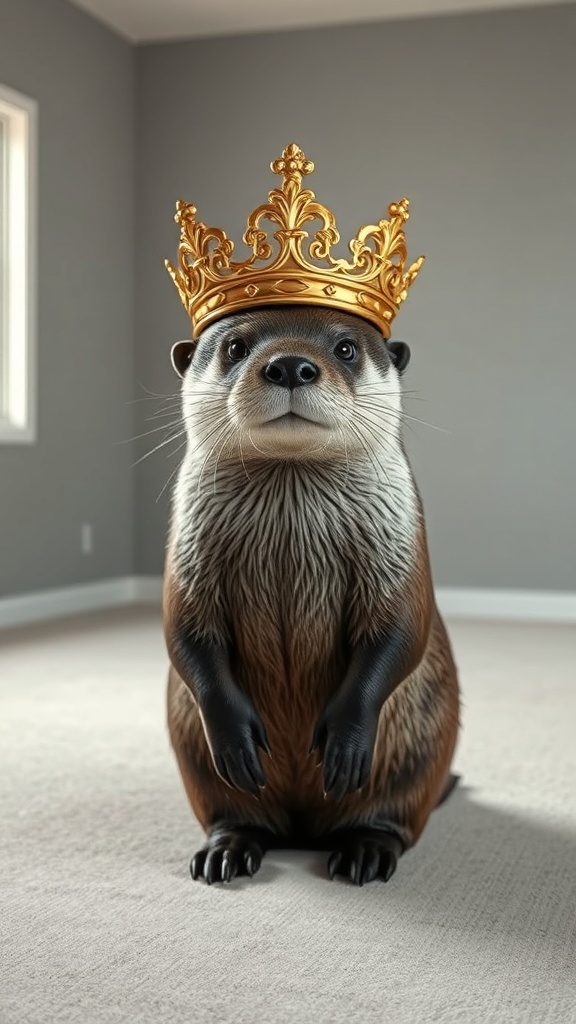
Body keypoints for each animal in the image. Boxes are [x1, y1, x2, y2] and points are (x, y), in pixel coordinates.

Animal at [164, 304, 460, 886]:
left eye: (346, 348)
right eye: (235, 346)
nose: (289, 366)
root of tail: (303, 830)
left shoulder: (401, 543)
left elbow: (402, 631)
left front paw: (346, 740)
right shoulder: (188, 547)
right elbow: (183, 632)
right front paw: (232, 736)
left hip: (416, 754)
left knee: (390, 815)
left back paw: (365, 850)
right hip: (195, 759)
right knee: (233, 807)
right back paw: (227, 849)